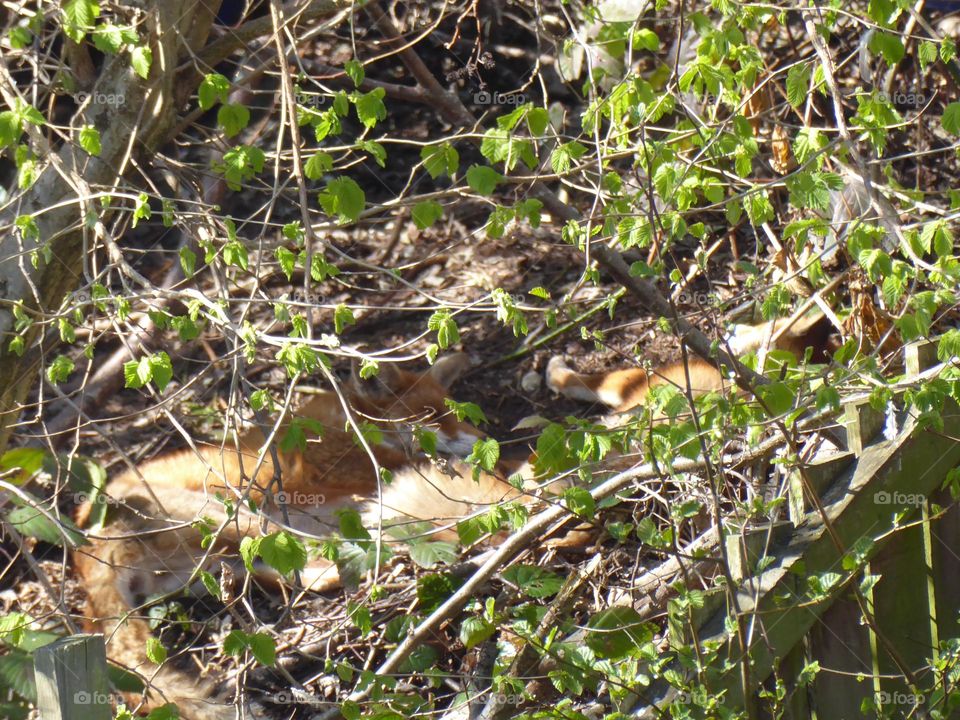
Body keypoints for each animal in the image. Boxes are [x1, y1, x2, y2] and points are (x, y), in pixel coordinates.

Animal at [73, 353, 525, 720]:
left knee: (302, 575)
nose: (488, 441)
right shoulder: (363, 471)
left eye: (456, 413)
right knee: (325, 560)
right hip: (238, 519)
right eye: (432, 416)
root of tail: (84, 549)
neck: (352, 424)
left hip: (221, 563)